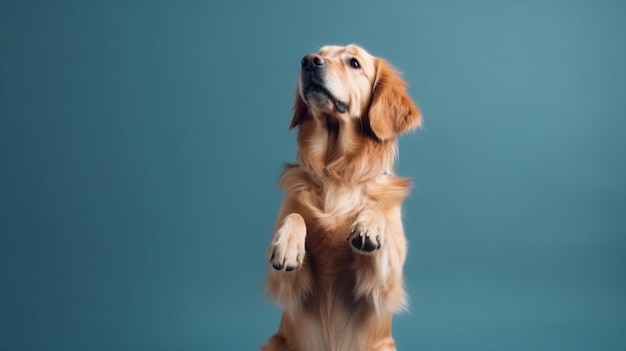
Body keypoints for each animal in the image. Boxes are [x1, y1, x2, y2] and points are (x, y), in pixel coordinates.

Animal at [260, 44, 422, 351]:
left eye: (354, 63)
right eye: (318, 53)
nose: (309, 61)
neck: (338, 173)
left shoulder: (385, 286)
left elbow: (376, 213)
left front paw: (368, 226)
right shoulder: (286, 285)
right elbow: (295, 215)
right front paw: (287, 245)